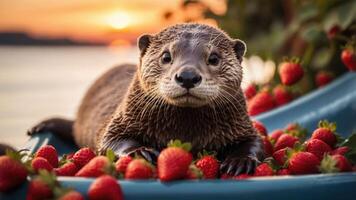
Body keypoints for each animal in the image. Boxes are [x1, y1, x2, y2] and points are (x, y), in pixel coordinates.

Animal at [29, 23, 264, 175]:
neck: (186, 133)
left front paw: (239, 161)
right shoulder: (120, 120)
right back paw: (40, 126)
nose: (188, 76)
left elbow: (256, 142)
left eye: (214, 58)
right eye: (166, 56)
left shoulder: (241, 125)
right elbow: (110, 140)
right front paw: (140, 152)